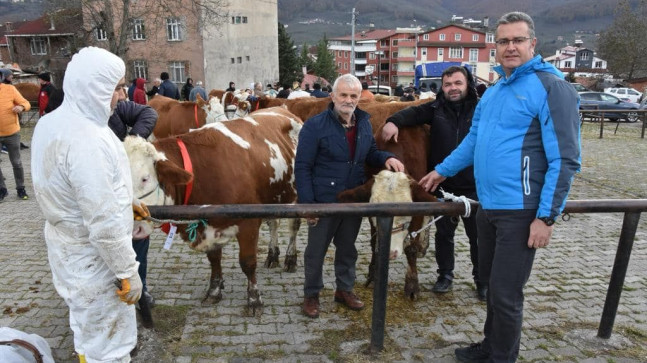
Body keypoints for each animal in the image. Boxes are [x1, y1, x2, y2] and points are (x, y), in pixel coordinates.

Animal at [124, 106, 304, 312]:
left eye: (145, 179)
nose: (132, 227)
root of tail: (282, 108)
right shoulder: (209, 224)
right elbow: (214, 259)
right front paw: (214, 291)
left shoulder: (249, 223)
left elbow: (248, 262)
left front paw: (254, 299)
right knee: (274, 223)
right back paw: (273, 256)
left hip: (296, 196)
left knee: (293, 226)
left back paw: (290, 259)